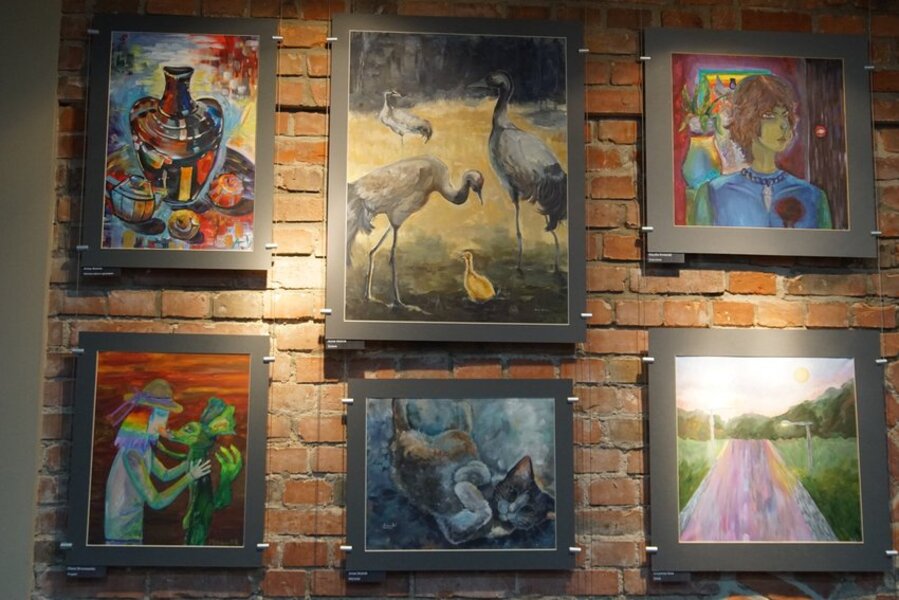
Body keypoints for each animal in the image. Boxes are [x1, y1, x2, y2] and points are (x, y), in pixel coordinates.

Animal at [390, 397, 555, 545]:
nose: (510, 509)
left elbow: (483, 512)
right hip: (459, 440)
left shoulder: (453, 531)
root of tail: (404, 436)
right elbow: (481, 476)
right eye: (513, 492)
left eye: (528, 509)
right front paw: (462, 477)